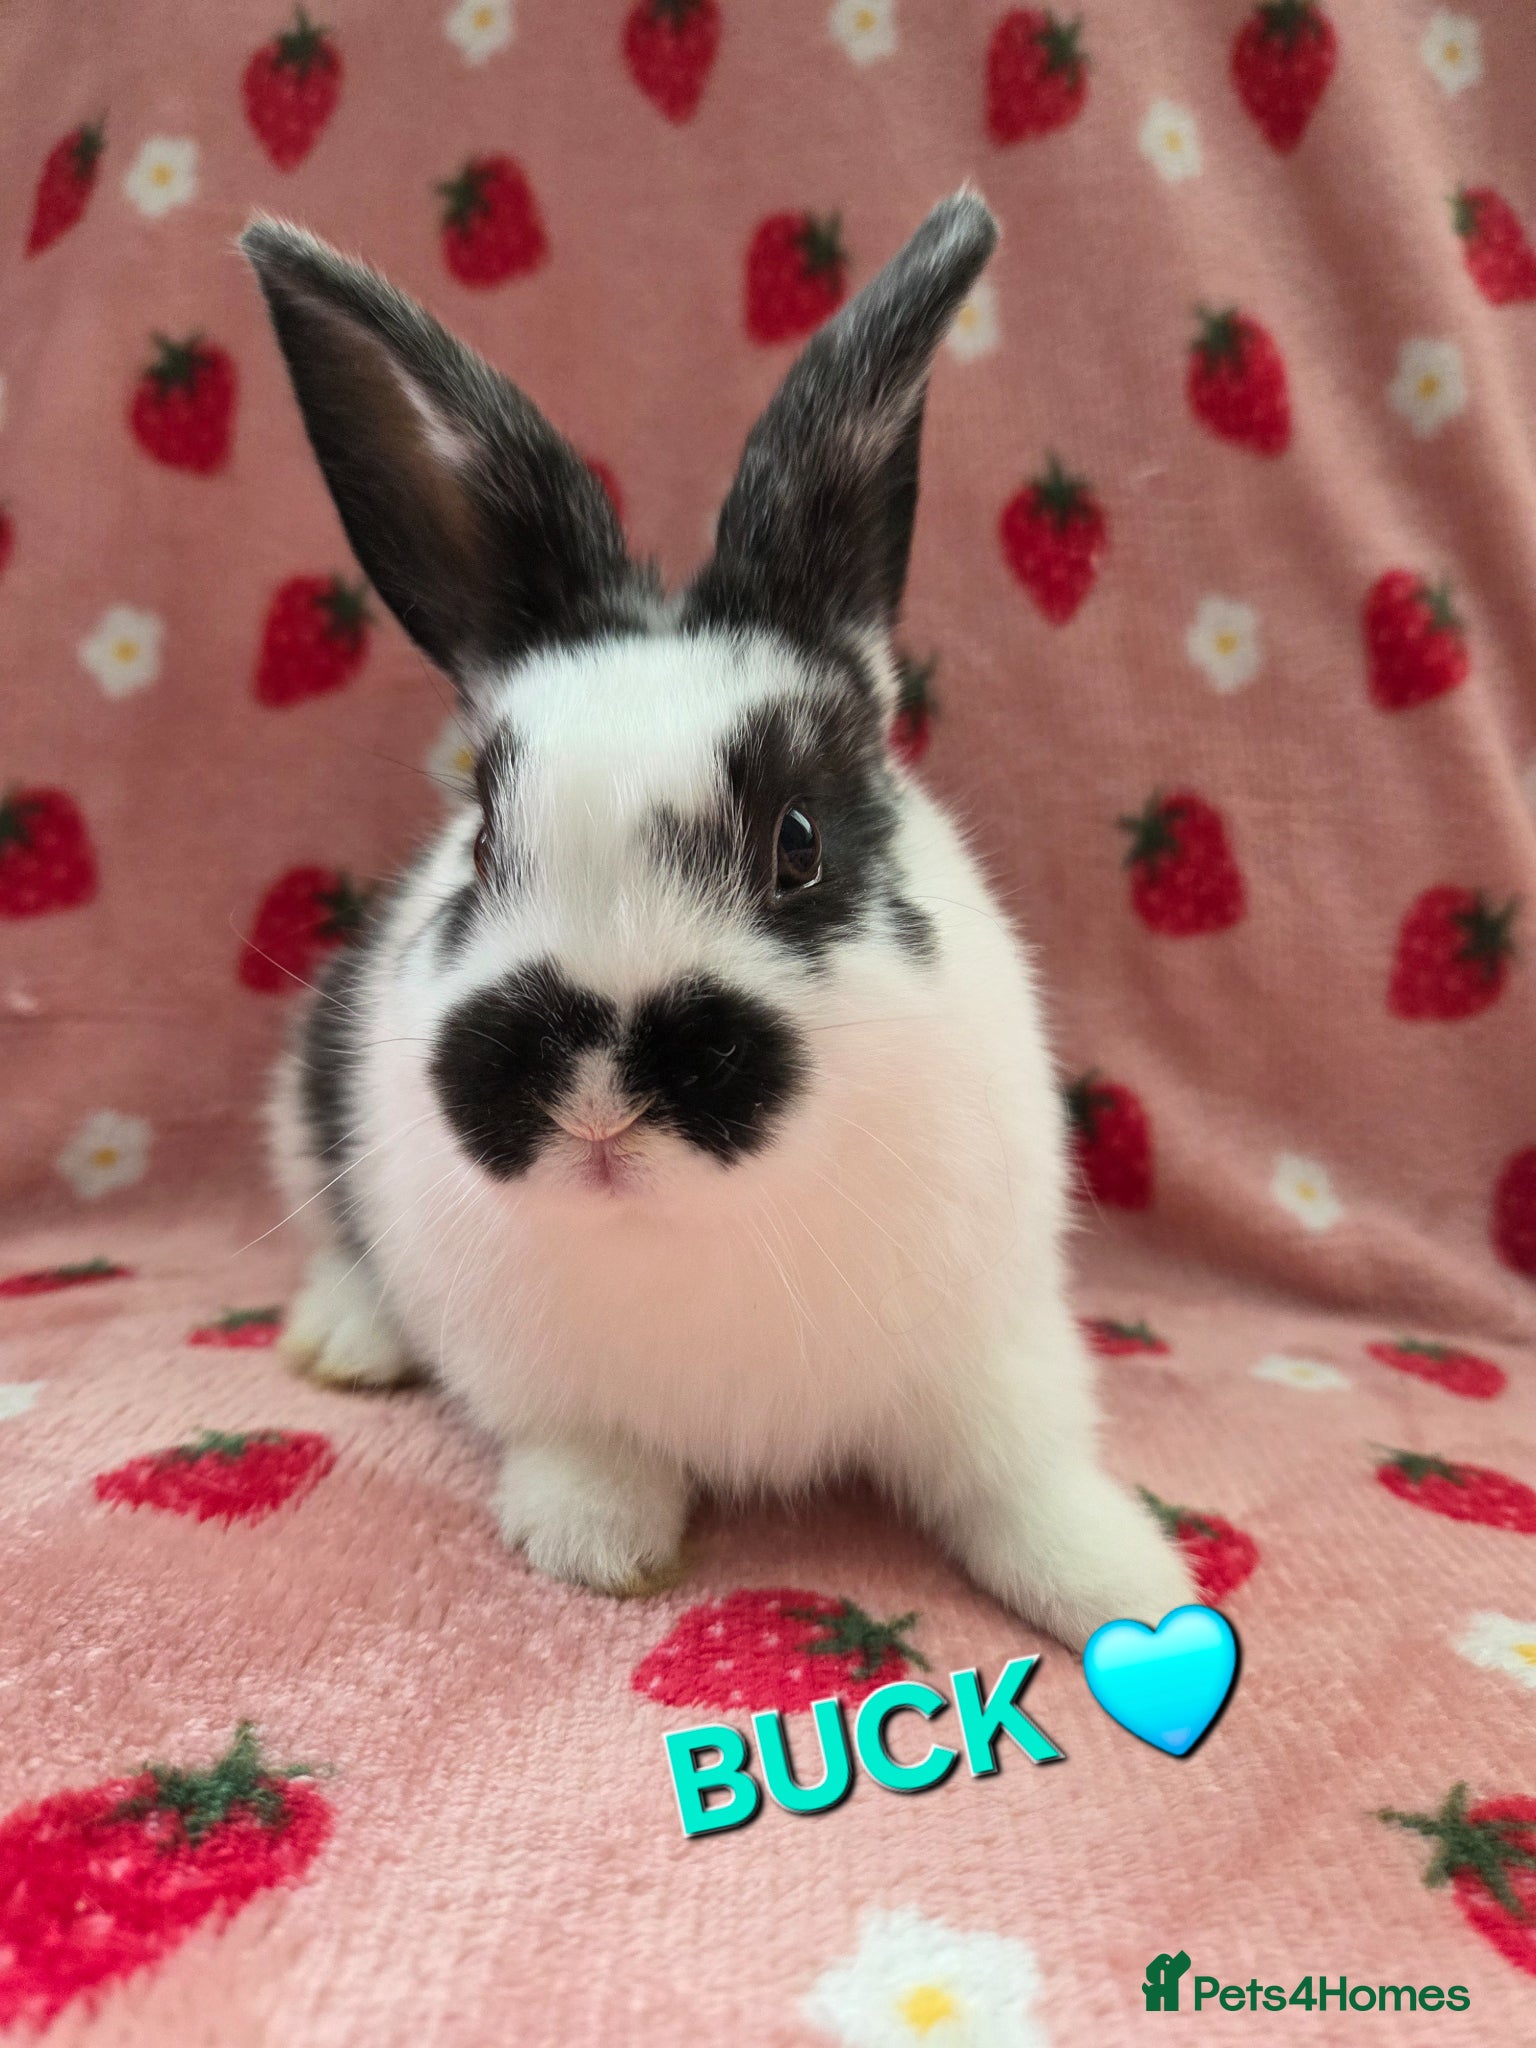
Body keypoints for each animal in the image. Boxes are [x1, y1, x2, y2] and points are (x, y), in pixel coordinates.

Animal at [240, 192, 1195, 1650]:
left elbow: (1022, 1481)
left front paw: (1135, 1588)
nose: (590, 1084)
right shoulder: (538, 1377)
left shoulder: (995, 1351)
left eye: (797, 844)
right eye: (485, 842)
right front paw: (597, 1541)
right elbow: (586, 1451)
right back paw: (349, 1339)